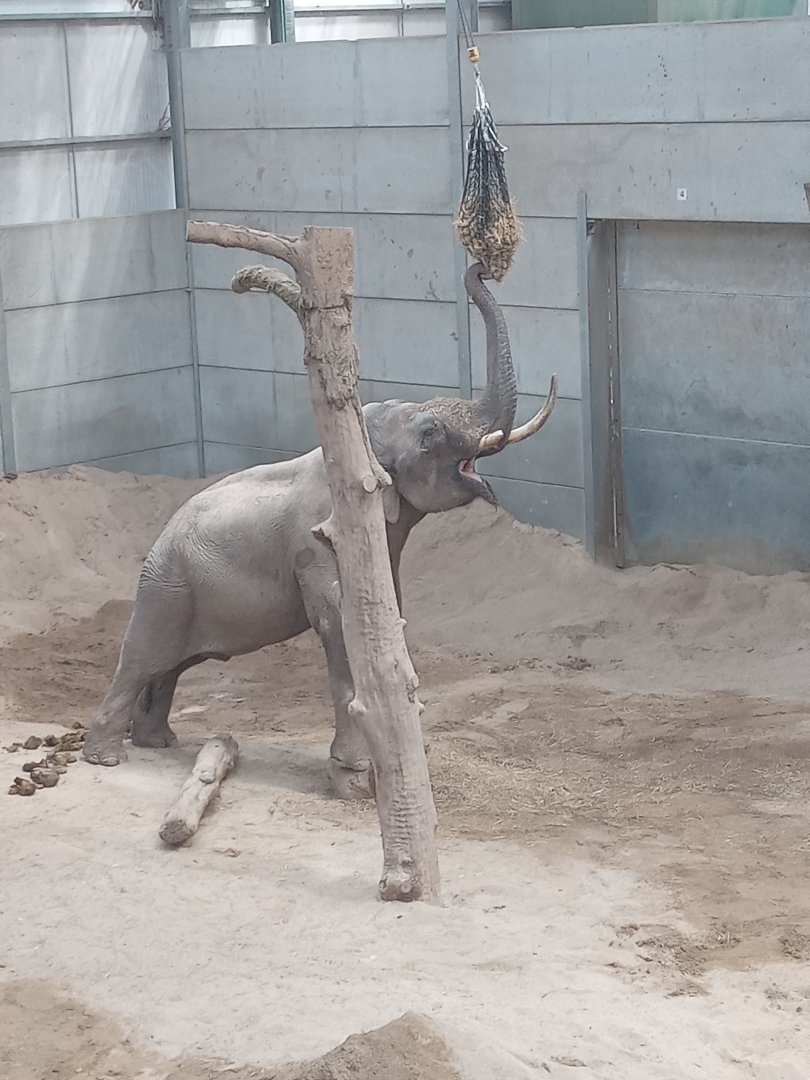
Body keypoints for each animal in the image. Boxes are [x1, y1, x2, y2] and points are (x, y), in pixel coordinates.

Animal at [82, 262, 557, 799]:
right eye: (430, 433)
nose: (478, 268)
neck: (360, 442)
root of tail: (158, 540)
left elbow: (387, 609)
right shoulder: (316, 545)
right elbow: (337, 619)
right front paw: (352, 777)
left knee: (169, 666)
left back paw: (157, 742)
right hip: (167, 592)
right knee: (141, 658)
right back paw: (106, 756)